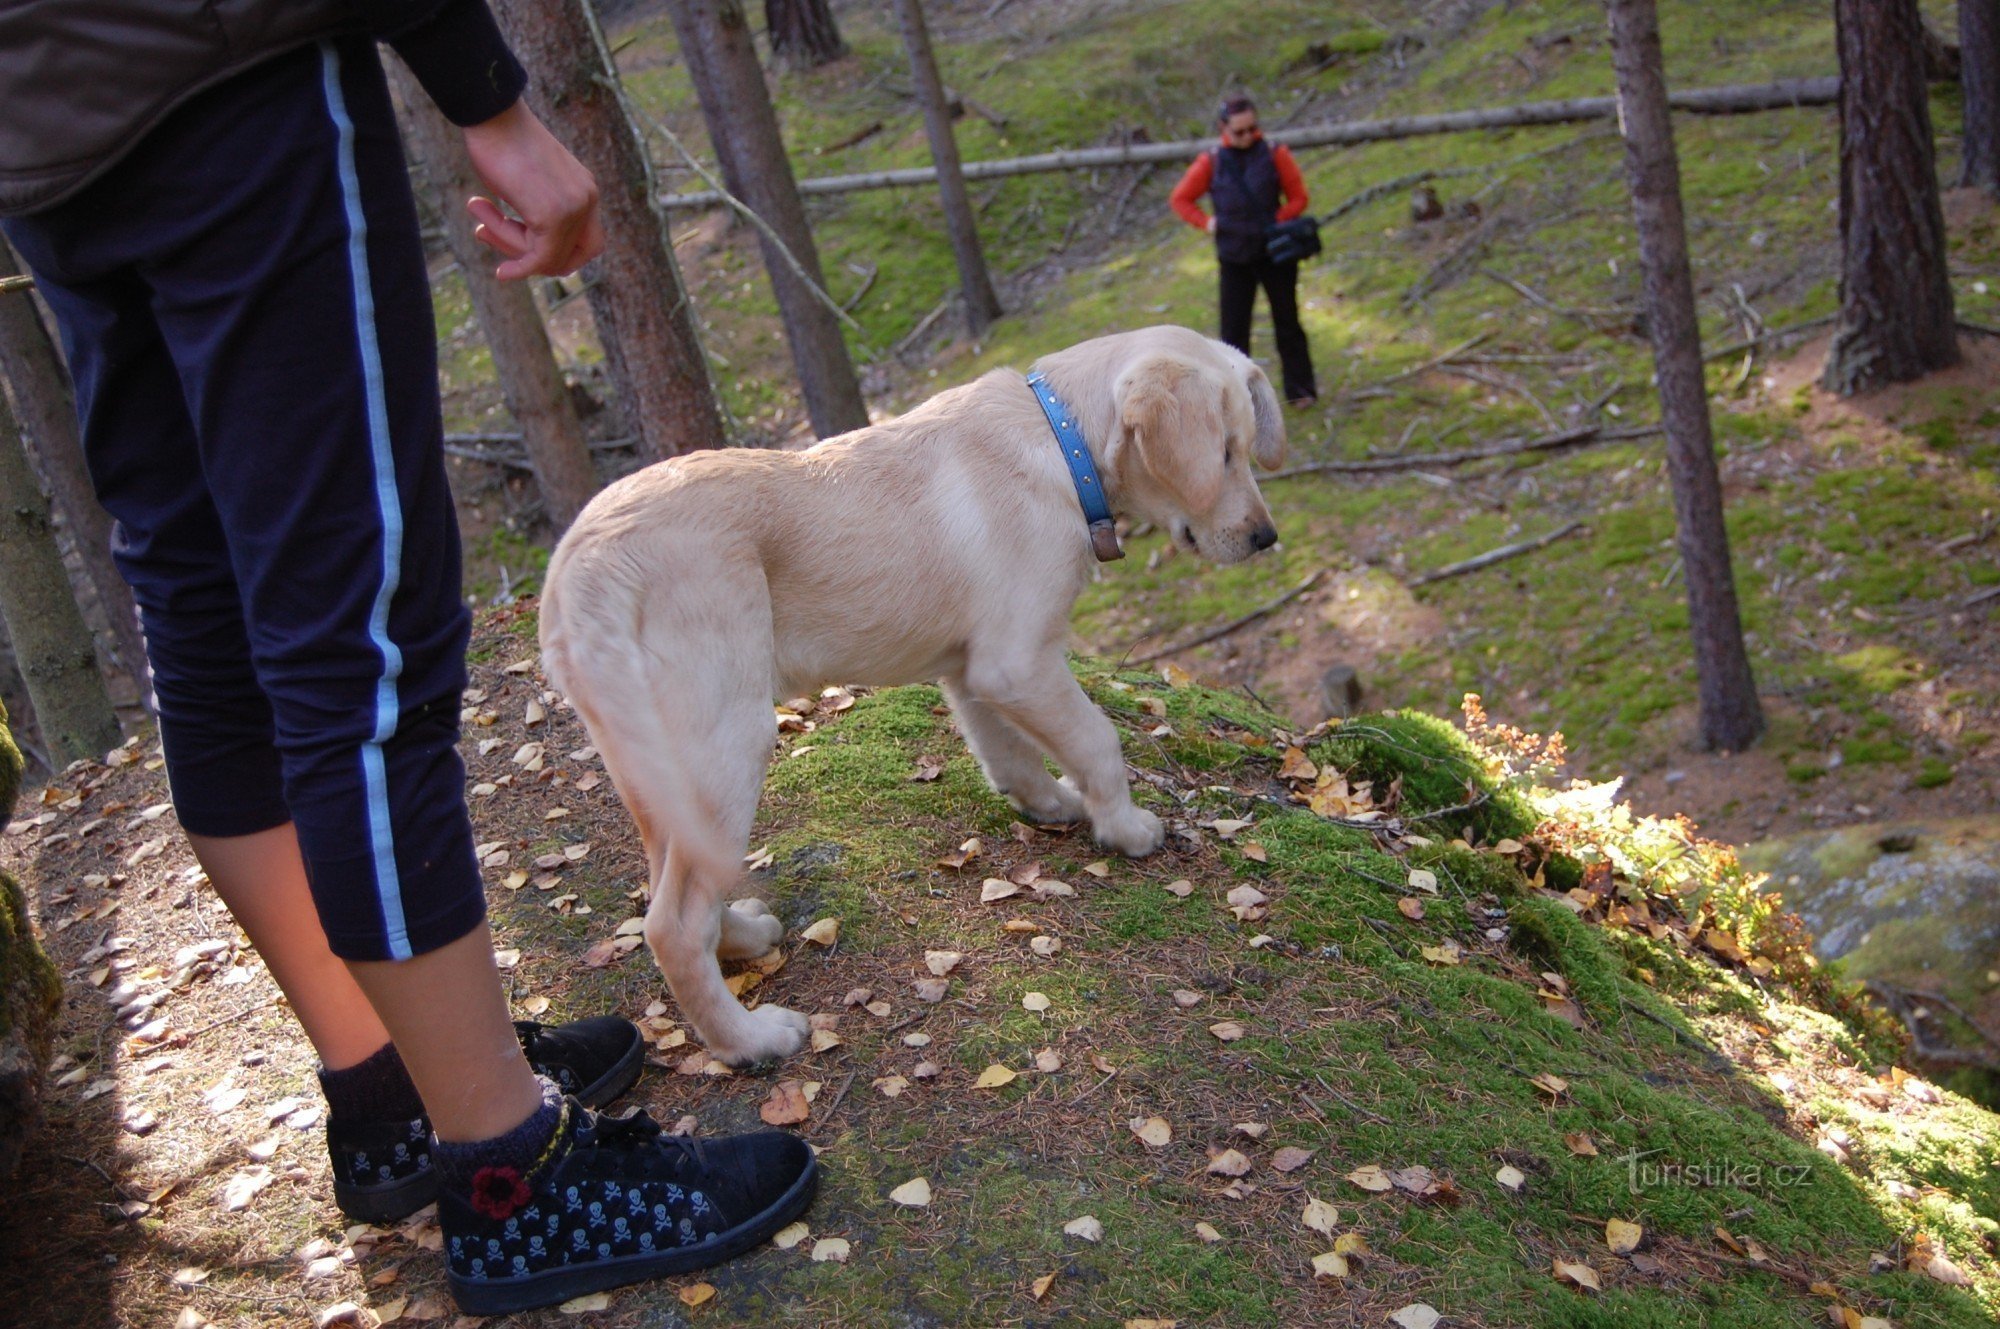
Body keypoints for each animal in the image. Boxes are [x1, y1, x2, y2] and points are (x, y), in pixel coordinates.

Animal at [536, 326, 1280, 1064]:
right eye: (1223, 452)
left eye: (1244, 446)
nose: (1266, 538)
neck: (1060, 440)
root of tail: (581, 566)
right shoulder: (1019, 660)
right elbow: (1097, 739)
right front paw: (1126, 827)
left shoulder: (974, 669)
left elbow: (1009, 755)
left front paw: (1053, 806)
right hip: (726, 738)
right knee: (672, 925)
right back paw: (751, 1039)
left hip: (658, 767)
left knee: (670, 886)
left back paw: (744, 936)